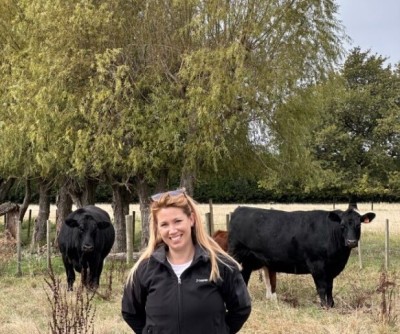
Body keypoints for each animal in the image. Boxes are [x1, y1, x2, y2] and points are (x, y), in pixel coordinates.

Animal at [228, 205, 376, 306]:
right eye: (342, 225)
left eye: (358, 225)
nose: (351, 242)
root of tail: (239, 209)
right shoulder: (317, 265)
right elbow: (322, 287)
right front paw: (324, 306)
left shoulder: (330, 269)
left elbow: (330, 287)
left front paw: (331, 304)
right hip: (236, 256)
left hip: (248, 261)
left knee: (244, 277)